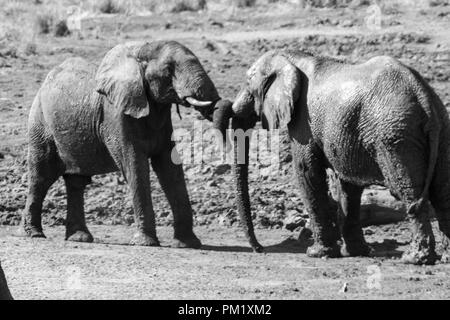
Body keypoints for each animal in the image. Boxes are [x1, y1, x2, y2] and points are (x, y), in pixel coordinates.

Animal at [21, 40, 227, 248]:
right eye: (169, 69)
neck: (141, 49)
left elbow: (170, 168)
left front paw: (188, 244)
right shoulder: (116, 115)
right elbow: (135, 165)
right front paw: (146, 243)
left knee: (76, 182)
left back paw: (79, 237)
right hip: (40, 123)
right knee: (40, 178)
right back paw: (34, 234)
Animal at [214, 49, 450, 264]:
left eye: (248, 84)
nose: (259, 249)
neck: (292, 58)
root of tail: (424, 97)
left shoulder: (303, 122)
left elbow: (307, 172)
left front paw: (317, 253)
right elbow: (348, 185)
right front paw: (355, 252)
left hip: (395, 136)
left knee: (409, 192)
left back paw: (414, 259)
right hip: (439, 131)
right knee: (442, 195)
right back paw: (444, 258)